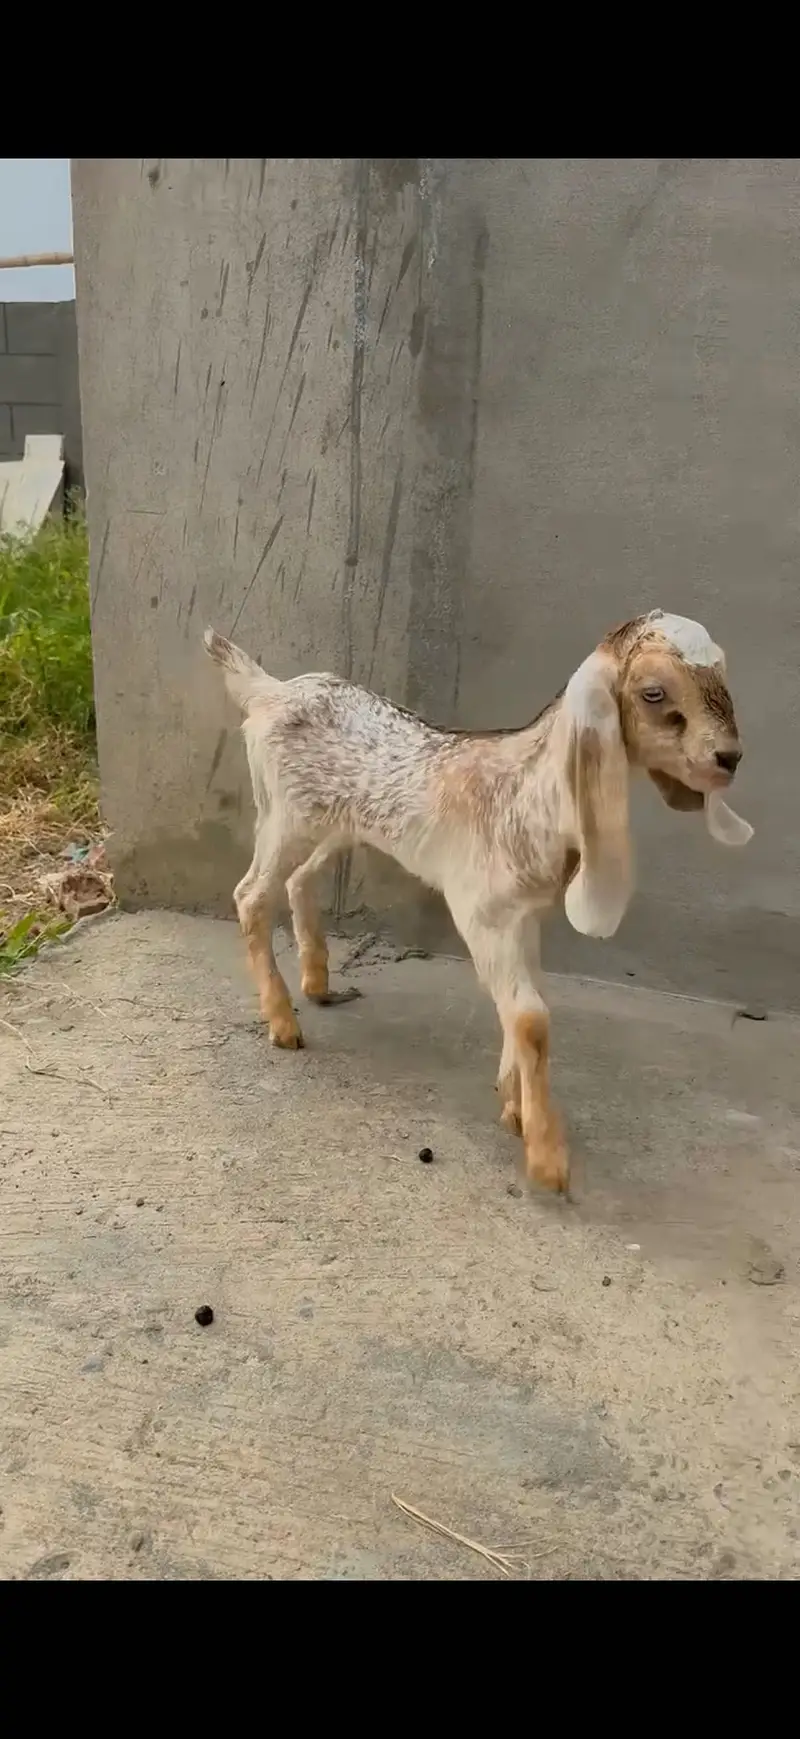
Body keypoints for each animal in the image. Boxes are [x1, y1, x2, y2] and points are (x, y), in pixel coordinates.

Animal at [204, 611, 752, 1195]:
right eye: (653, 692)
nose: (730, 758)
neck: (526, 794)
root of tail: (271, 691)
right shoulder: (483, 913)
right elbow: (531, 1016)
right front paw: (546, 1157)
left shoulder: (524, 915)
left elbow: (526, 1003)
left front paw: (514, 1106)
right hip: (284, 815)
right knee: (251, 895)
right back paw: (283, 1024)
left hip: (337, 823)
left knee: (299, 880)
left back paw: (317, 982)